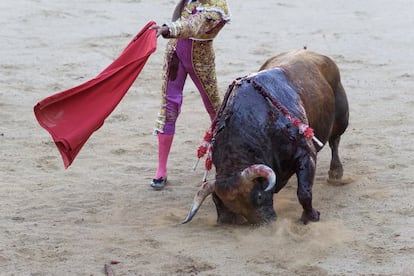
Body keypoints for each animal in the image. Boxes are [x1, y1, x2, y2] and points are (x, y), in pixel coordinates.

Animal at [183, 49, 348, 225]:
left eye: (259, 196)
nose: (265, 221)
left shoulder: (306, 153)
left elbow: (304, 192)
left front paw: (310, 216)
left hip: (341, 119)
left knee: (335, 141)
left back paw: (336, 172)